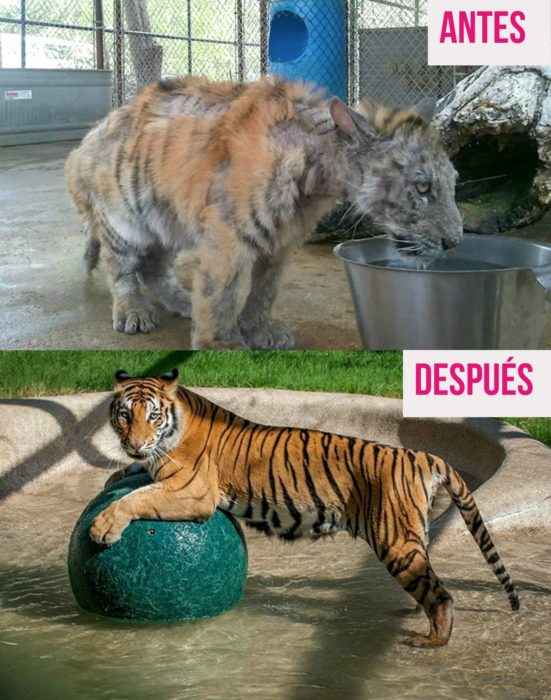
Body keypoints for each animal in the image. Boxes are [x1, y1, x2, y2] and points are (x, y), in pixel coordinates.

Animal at [66, 76, 466, 350]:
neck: (316, 178)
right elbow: (222, 291)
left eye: (452, 182)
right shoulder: (228, 234)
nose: (454, 242)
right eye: (423, 188)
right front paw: (220, 344)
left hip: (167, 220)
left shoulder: (282, 240)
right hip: (124, 218)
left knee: (153, 268)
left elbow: (264, 290)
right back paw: (133, 312)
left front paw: (258, 330)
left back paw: (182, 301)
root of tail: (86, 139)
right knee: (120, 267)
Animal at [89, 370, 516, 648]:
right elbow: (128, 475)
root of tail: (418, 454)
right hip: (412, 537)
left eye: (152, 415)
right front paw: (115, 477)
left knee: (441, 595)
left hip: (396, 543)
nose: (134, 443)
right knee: (429, 584)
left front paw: (102, 526)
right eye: (124, 414)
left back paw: (432, 642)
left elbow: (137, 497)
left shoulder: (193, 492)